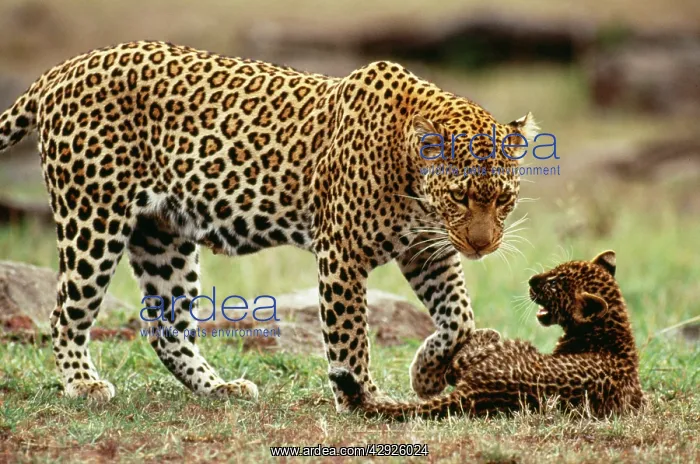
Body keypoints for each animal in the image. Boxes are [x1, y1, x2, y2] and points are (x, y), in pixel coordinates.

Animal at [0, 40, 538, 410]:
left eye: (503, 200)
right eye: (461, 196)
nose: (483, 246)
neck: (414, 184)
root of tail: (62, 69)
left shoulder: (428, 250)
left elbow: (460, 317)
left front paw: (426, 373)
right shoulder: (342, 253)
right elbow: (351, 338)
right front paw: (363, 401)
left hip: (161, 236)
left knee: (165, 328)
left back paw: (219, 388)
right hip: (92, 218)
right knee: (66, 313)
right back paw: (82, 383)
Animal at [330, 250, 645, 419]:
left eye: (554, 284)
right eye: (554, 270)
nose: (532, 280)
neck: (613, 330)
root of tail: (478, 389)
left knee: (461, 362)